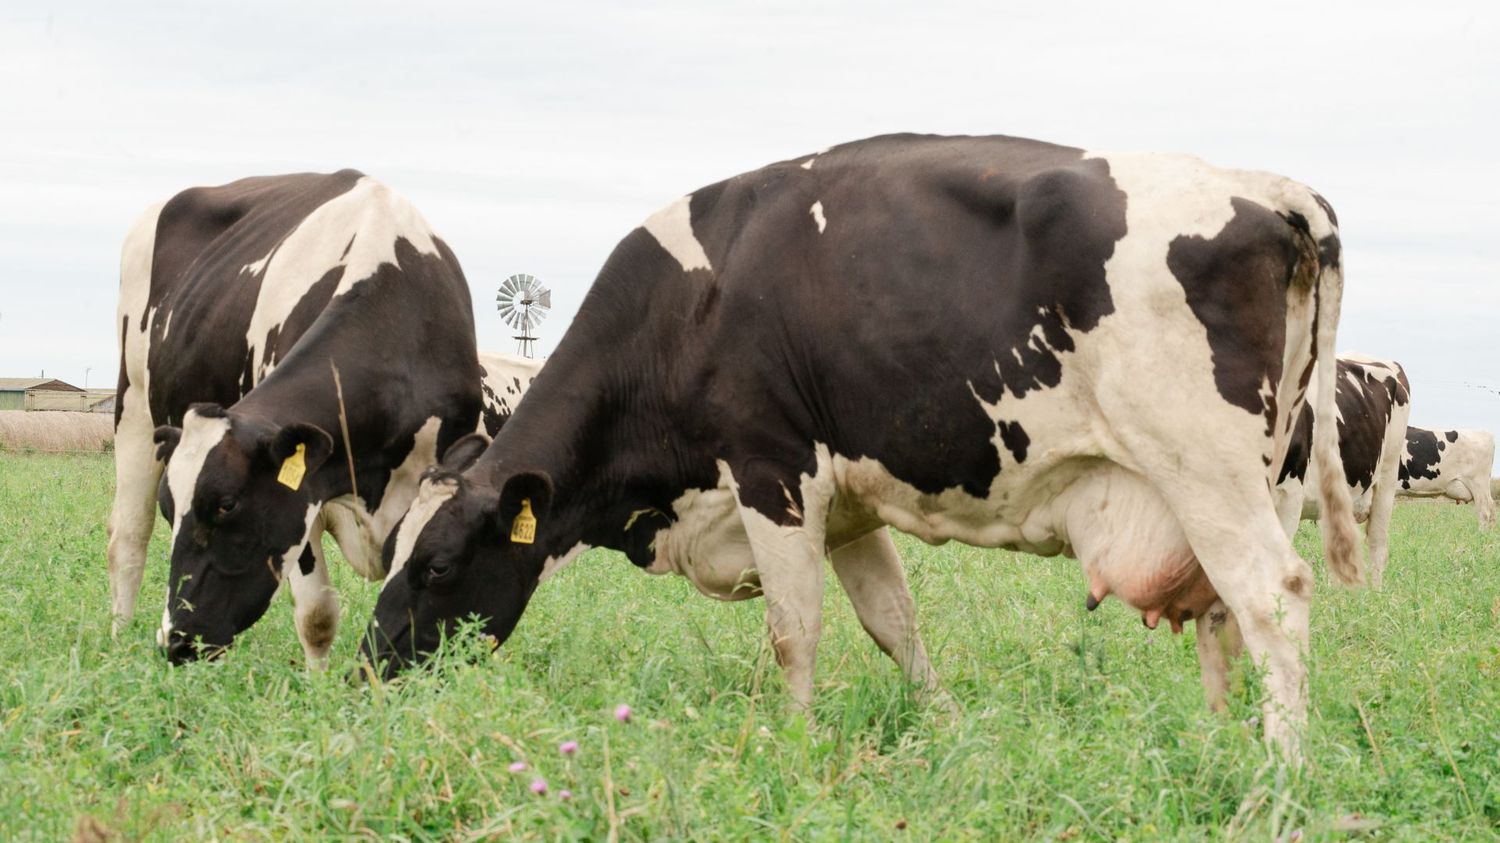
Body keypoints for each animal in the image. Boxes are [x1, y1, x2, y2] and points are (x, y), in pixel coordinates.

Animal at [360, 132, 1362, 756]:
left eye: (438, 564)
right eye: (391, 551)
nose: (370, 668)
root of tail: (1268, 191)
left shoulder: (772, 469)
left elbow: (793, 630)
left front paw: (792, 747)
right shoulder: (845, 504)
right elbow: (894, 622)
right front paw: (948, 727)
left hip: (1204, 468)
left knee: (1274, 596)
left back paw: (1278, 771)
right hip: (1271, 475)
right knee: (1226, 615)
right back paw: (1220, 740)